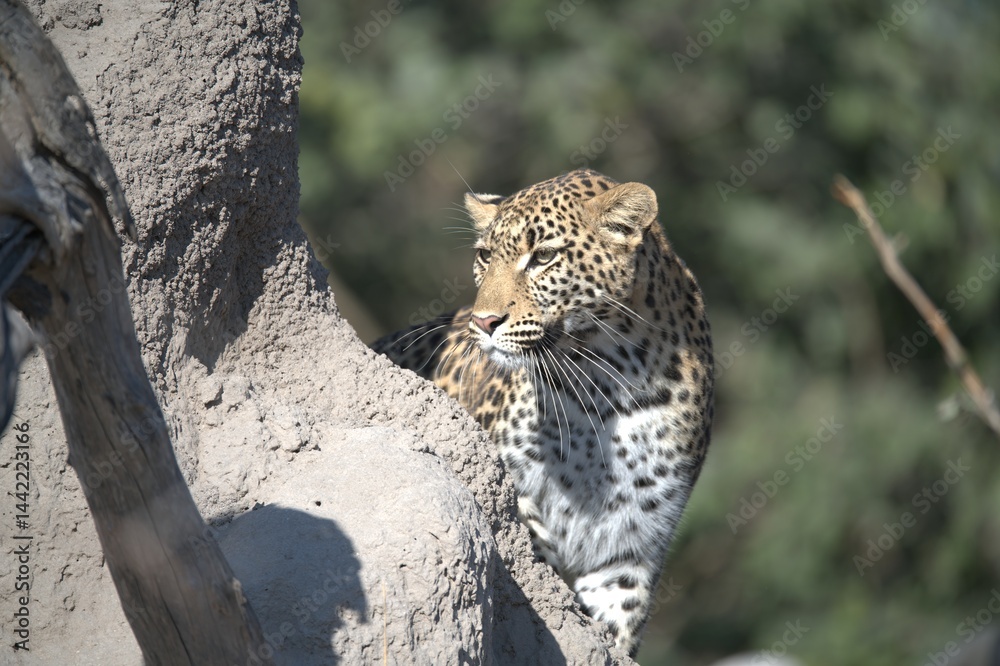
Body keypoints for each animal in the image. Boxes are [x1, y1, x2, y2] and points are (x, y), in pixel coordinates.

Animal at [372, 169, 714, 657]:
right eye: (485, 256)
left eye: (544, 257)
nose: (483, 322)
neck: (609, 385)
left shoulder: (631, 546)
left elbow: (614, 627)